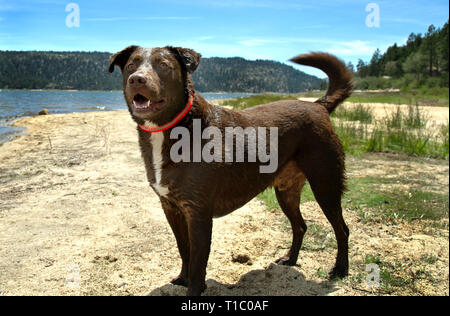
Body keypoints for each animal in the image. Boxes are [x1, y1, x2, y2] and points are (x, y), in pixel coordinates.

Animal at [108, 45, 352, 296]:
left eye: (164, 65)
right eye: (132, 65)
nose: (137, 79)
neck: (176, 128)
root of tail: (318, 105)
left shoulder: (198, 213)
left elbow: (197, 262)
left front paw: (194, 290)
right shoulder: (171, 208)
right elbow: (184, 250)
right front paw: (182, 279)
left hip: (325, 184)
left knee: (342, 229)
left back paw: (340, 269)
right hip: (286, 192)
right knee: (300, 226)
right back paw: (290, 260)